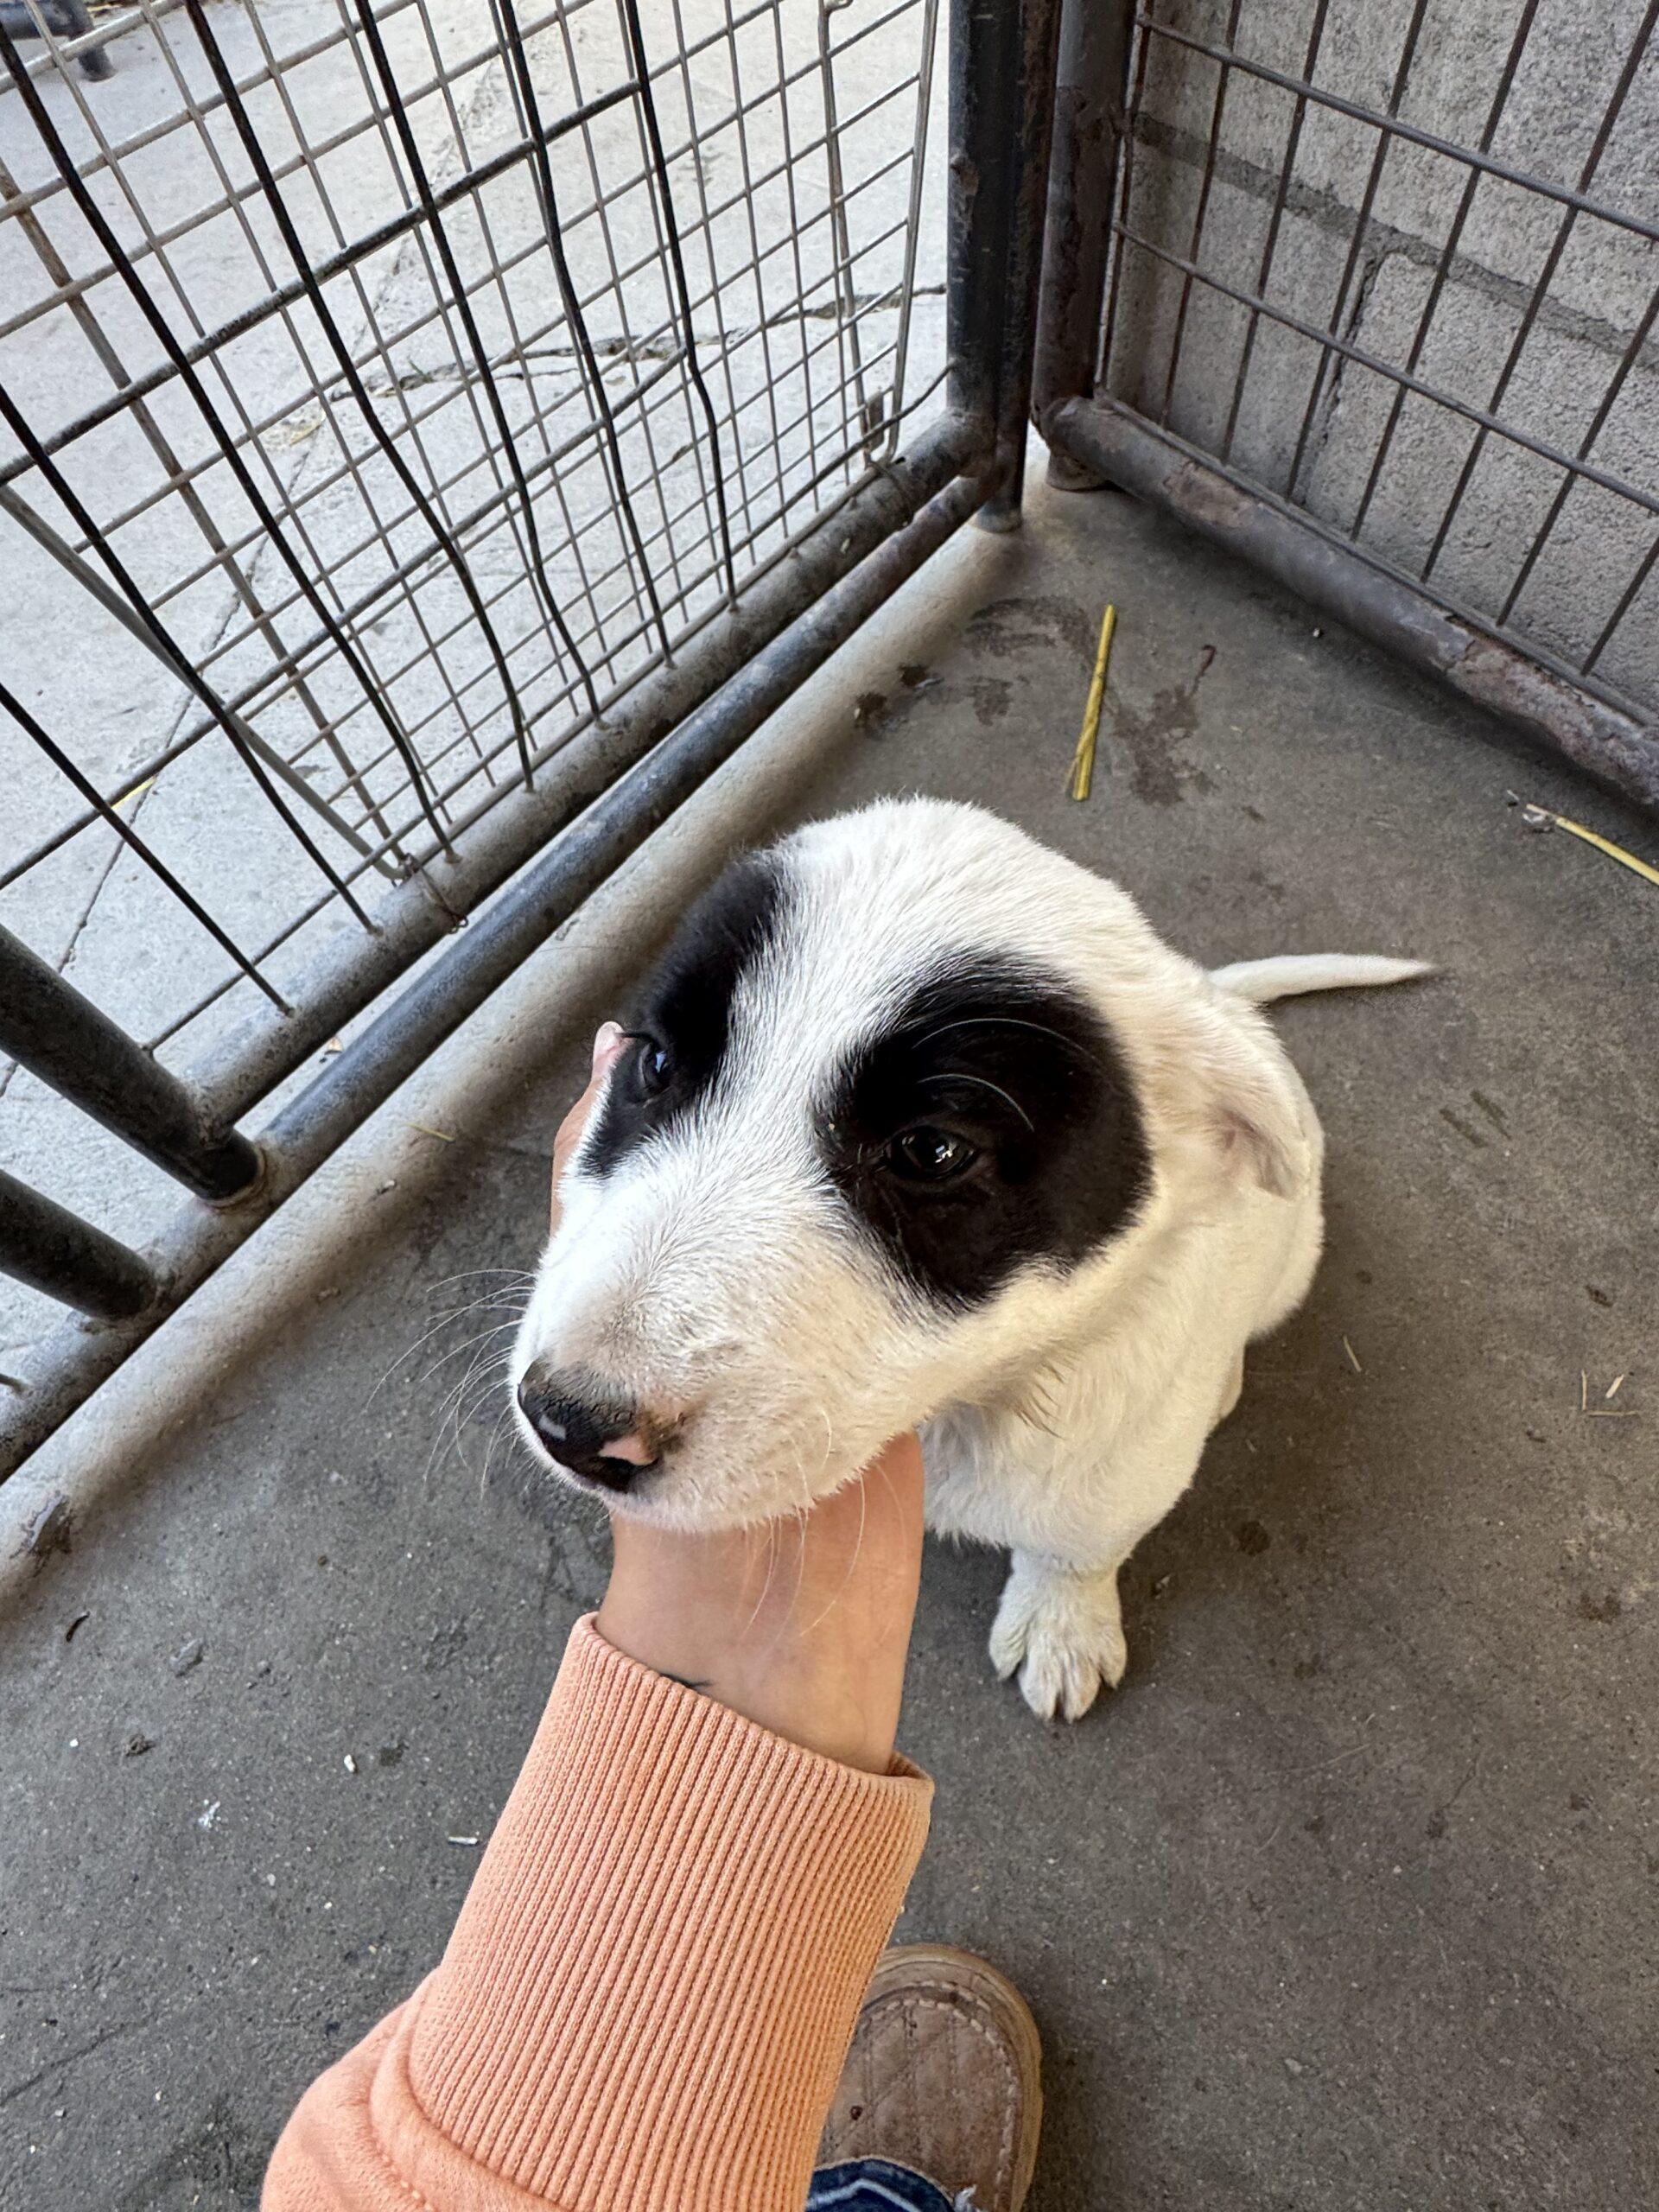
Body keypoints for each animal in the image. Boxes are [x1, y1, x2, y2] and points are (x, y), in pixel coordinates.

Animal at [511, 804, 1433, 1716]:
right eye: (657, 1064)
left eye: (932, 1152)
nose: (568, 1426)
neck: (975, 1401)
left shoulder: (1116, 1475)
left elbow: (1077, 1548)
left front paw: (1063, 1625)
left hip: (1293, 1260)